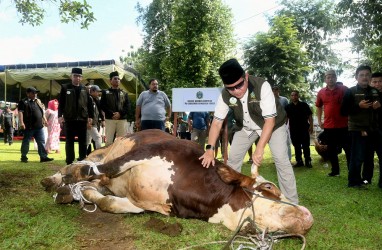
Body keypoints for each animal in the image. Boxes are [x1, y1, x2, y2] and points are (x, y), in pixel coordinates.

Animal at [41, 129, 314, 234]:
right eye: (269, 187)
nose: (308, 217)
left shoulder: (147, 205)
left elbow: (110, 203)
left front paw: (83, 195)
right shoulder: (145, 152)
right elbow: (95, 169)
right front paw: (69, 183)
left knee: (96, 179)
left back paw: (70, 190)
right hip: (107, 148)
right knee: (82, 162)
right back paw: (53, 179)